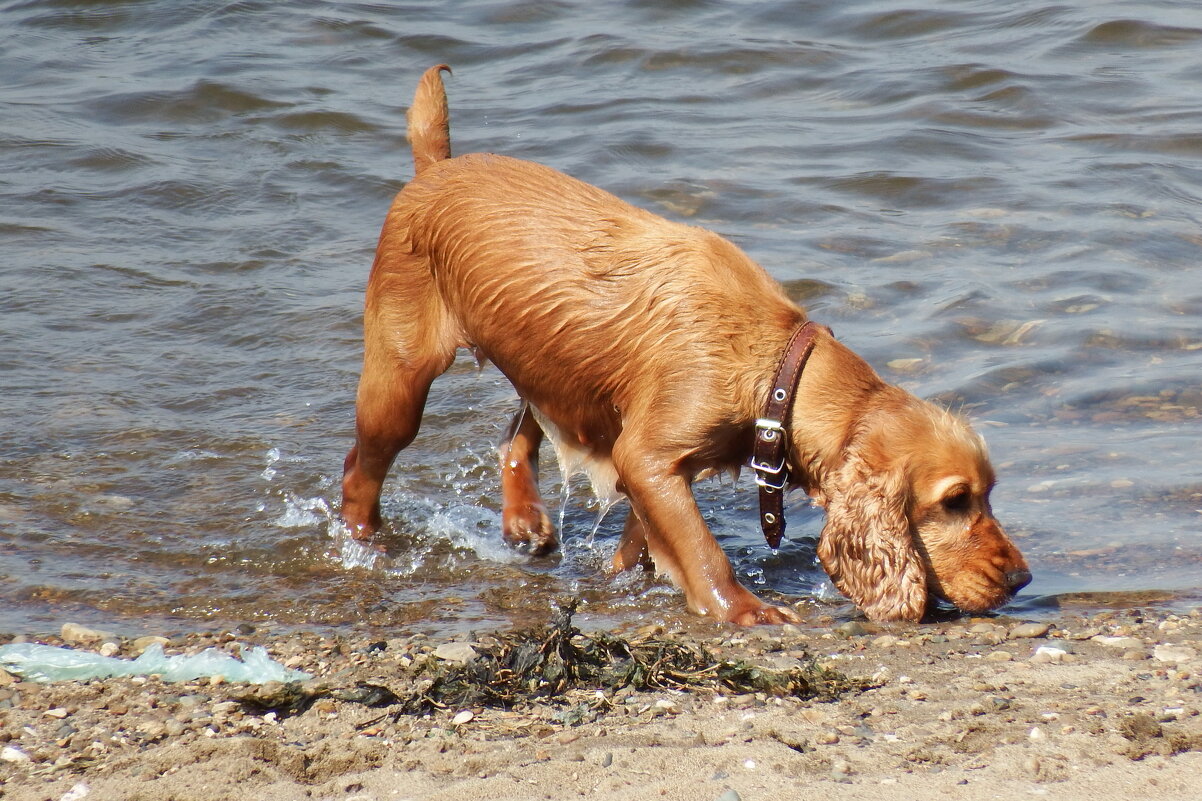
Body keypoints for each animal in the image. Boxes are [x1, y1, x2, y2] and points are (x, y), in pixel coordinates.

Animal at [341, 64, 1033, 625]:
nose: (1024, 578)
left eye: (988, 493)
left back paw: (524, 519)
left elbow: (642, 538)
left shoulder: (651, 460)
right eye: (955, 500)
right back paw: (366, 543)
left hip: (557, 367)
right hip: (401, 378)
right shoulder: (648, 455)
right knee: (360, 469)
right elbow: (701, 549)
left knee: (519, 429)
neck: (776, 369)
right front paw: (745, 610)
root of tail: (434, 168)